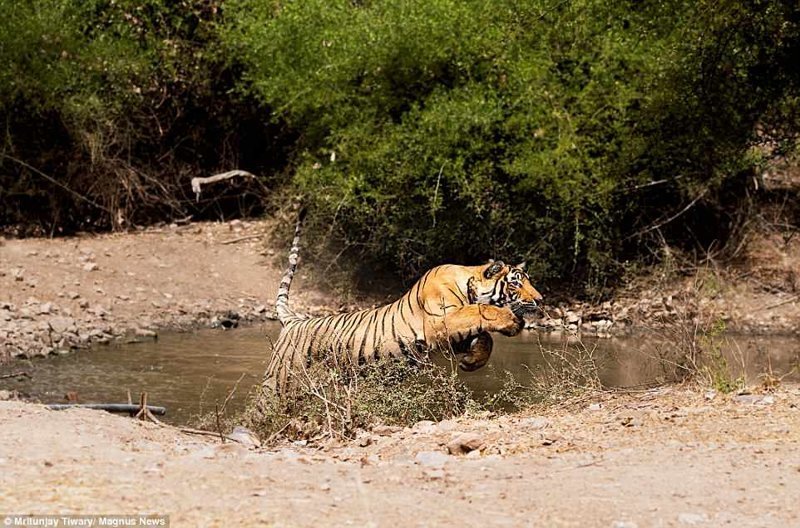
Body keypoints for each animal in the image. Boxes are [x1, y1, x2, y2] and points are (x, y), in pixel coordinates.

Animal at [264, 217, 544, 394]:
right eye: (516, 284)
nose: (541, 299)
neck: (469, 284)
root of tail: (294, 321)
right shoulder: (439, 322)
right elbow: (481, 311)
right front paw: (512, 321)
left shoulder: (448, 338)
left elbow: (486, 337)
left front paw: (471, 362)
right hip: (279, 381)